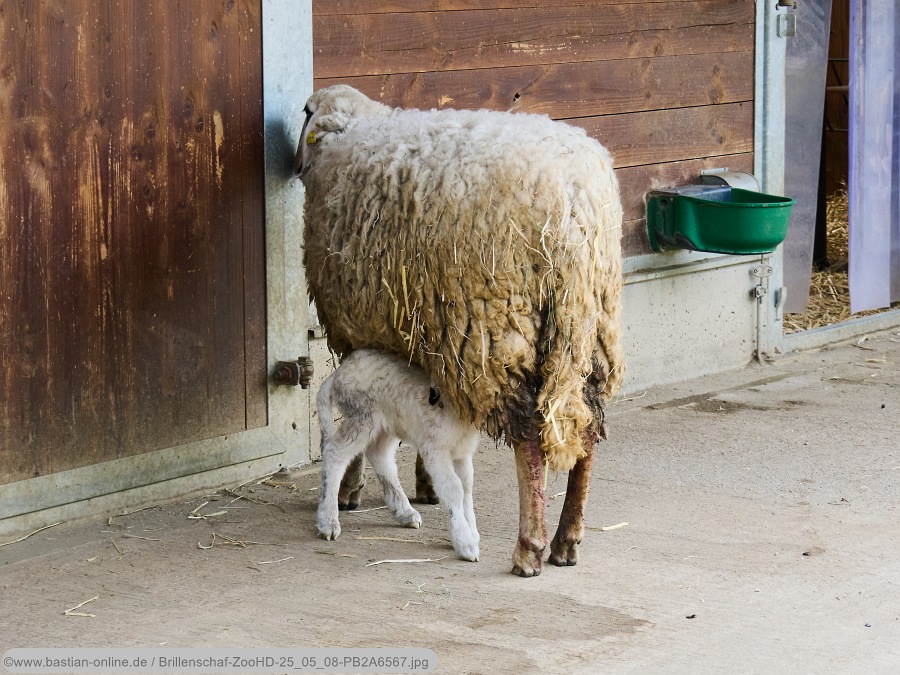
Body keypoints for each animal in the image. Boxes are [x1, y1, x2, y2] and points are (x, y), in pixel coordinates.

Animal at [315, 349, 480, 562]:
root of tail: (339, 372)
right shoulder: (435, 449)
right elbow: (454, 489)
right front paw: (465, 543)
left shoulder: (462, 452)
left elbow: (467, 487)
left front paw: (473, 534)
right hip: (361, 415)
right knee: (334, 453)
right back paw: (328, 522)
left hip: (388, 424)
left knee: (379, 454)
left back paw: (405, 512)